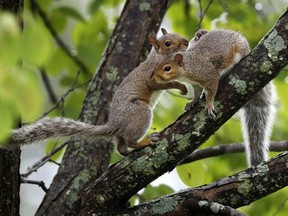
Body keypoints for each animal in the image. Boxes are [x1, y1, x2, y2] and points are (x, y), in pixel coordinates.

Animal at [4, 29, 190, 156]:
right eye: (168, 43)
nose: (186, 42)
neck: (157, 57)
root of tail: (115, 123)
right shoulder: (151, 74)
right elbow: (159, 83)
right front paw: (180, 86)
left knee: (121, 146)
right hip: (139, 112)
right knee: (130, 140)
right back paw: (144, 141)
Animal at [152, 28, 278, 166]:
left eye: (167, 68)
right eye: (157, 63)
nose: (153, 78)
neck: (189, 65)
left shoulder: (209, 75)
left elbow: (211, 91)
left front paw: (209, 104)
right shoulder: (195, 84)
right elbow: (197, 93)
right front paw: (192, 102)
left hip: (239, 50)